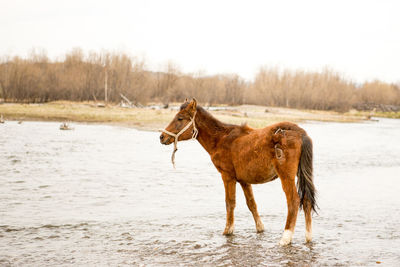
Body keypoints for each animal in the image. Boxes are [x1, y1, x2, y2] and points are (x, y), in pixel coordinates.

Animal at [158, 99, 318, 247]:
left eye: (180, 118)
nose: (161, 137)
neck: (220, 139)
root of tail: (299, 132)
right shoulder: (244, 180)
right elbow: (252, 204)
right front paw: (260, 228)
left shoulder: (227, 176)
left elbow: (230, 203)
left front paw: (228, 231)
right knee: (306, 200)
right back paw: (309, 237)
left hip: (286, 176)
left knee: (294, 201)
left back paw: (285, 238)